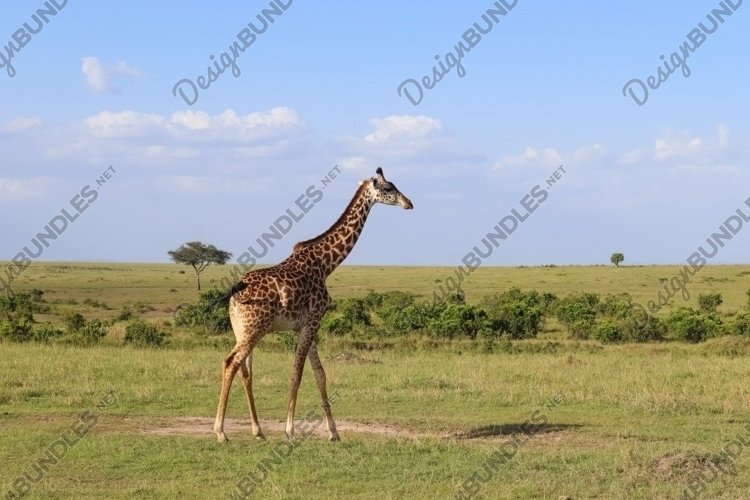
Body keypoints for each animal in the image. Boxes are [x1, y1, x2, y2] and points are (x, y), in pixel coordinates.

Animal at [213, 167, 413, 442]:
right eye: (389, 188)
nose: (409, 203)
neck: (326, 264)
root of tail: (235, 290)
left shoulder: (308, 324)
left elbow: (320, 375)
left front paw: (333, 432)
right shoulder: (313, 320)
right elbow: (297, 374)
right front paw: (290, 431)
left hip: (241, 329)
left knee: (245, 371)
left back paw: (257, 430)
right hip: (255, 328)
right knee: (230, 363)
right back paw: (220, 431)